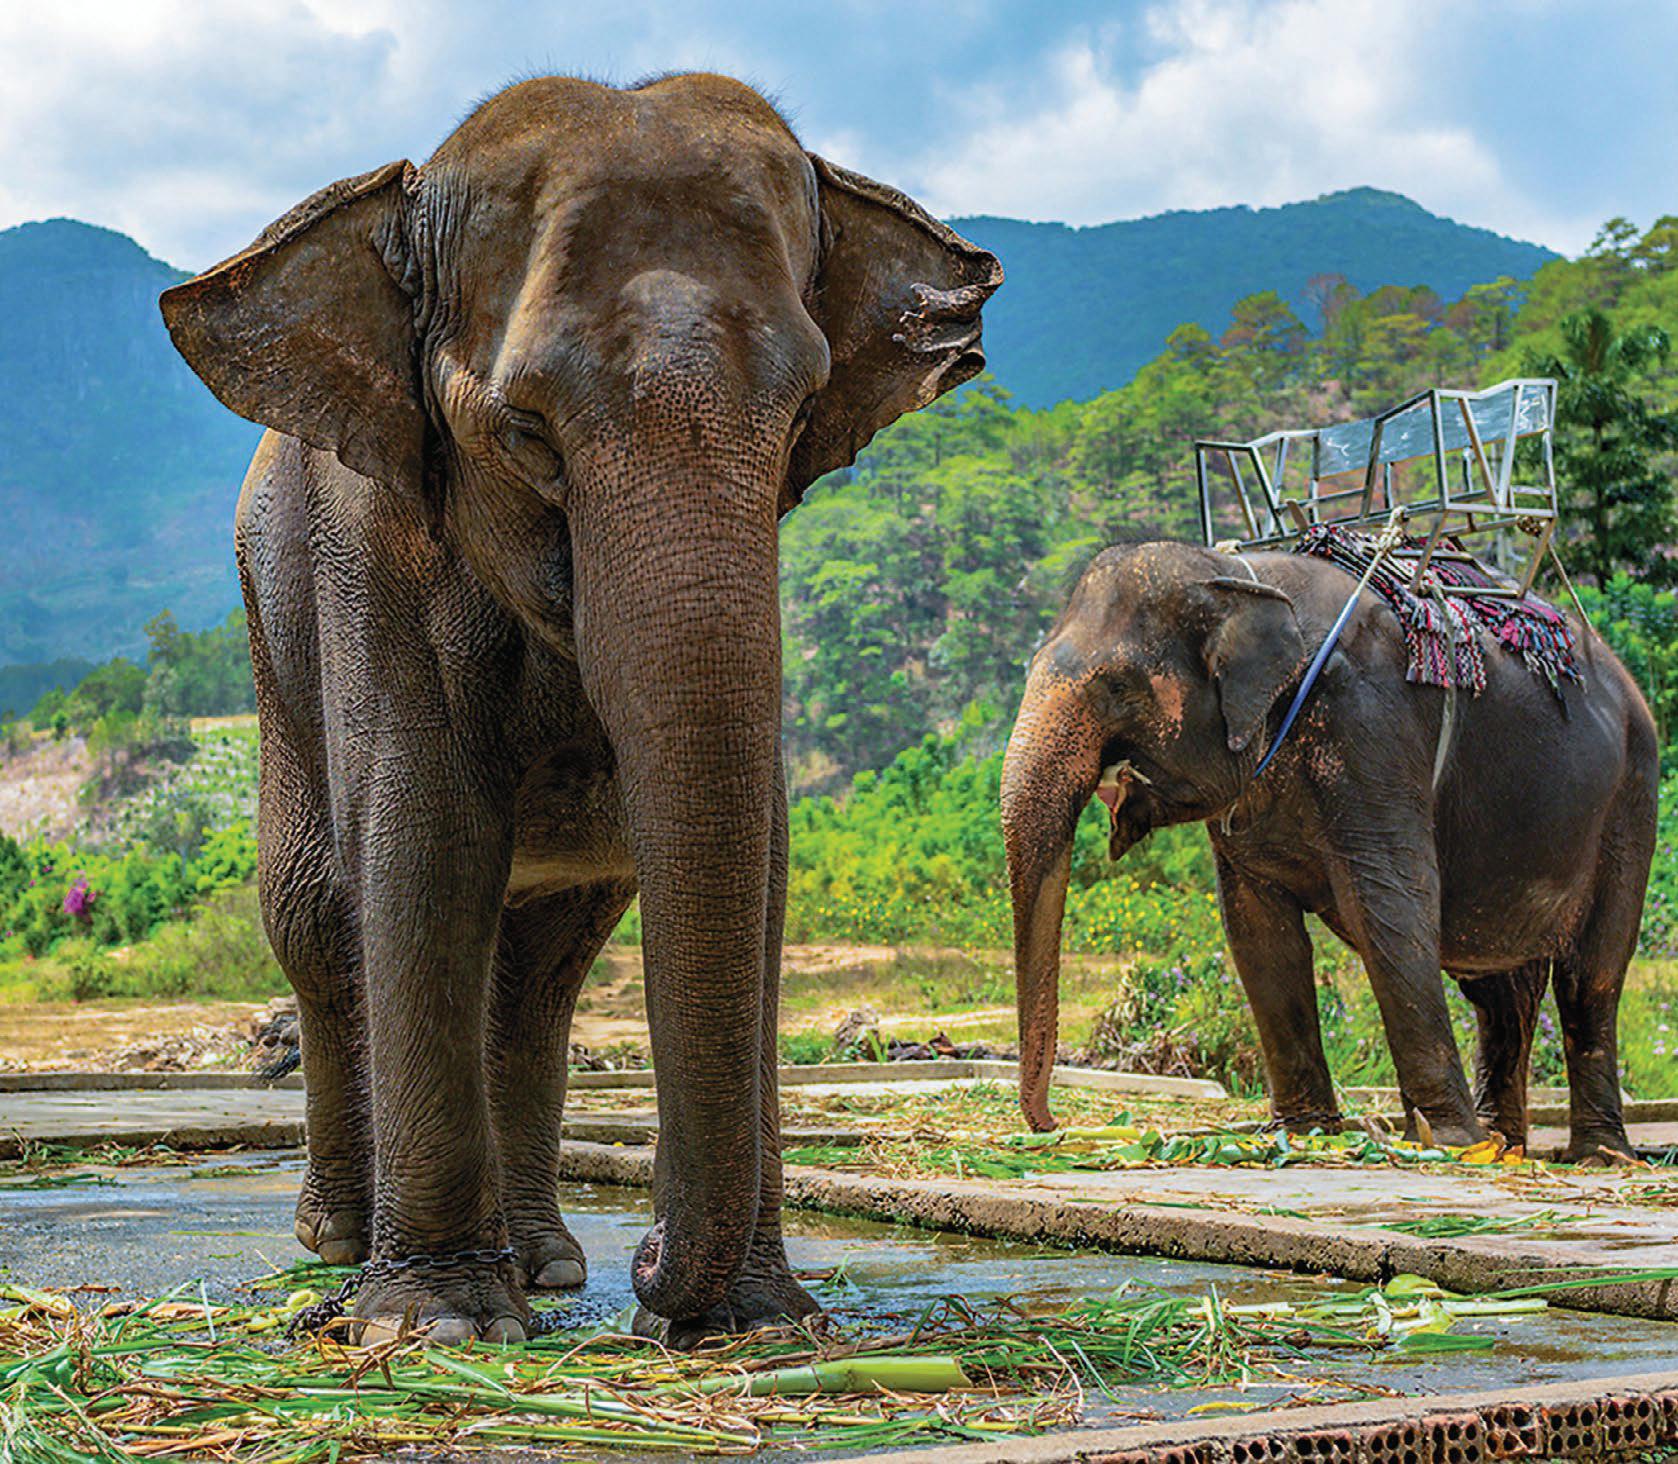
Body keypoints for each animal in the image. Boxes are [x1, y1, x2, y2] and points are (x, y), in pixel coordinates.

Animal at [159, 72, 1001, 1344]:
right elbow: (421, 847)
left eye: (803, 412)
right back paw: (342, 1249)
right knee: (314, 919)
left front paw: (757, 1322)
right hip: (270, 624)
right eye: (522, 432)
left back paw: (549, 1264)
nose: (648, 1264)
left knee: (544, 965)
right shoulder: (371, 562)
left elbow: (760, 860)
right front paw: (439, 1326)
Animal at [1000, 540, 1656, 1162]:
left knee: (1590, 979)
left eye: (1117, 686)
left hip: (1631, 801)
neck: (1243, 576)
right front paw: (1303, 1134)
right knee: (1499, 993)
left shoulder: (1372, 726)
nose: (1051, 1126)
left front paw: (1449, 1144)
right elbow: (1259, 933)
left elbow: (1392, 902)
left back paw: (1593, 1156)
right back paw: (1503, 1146)